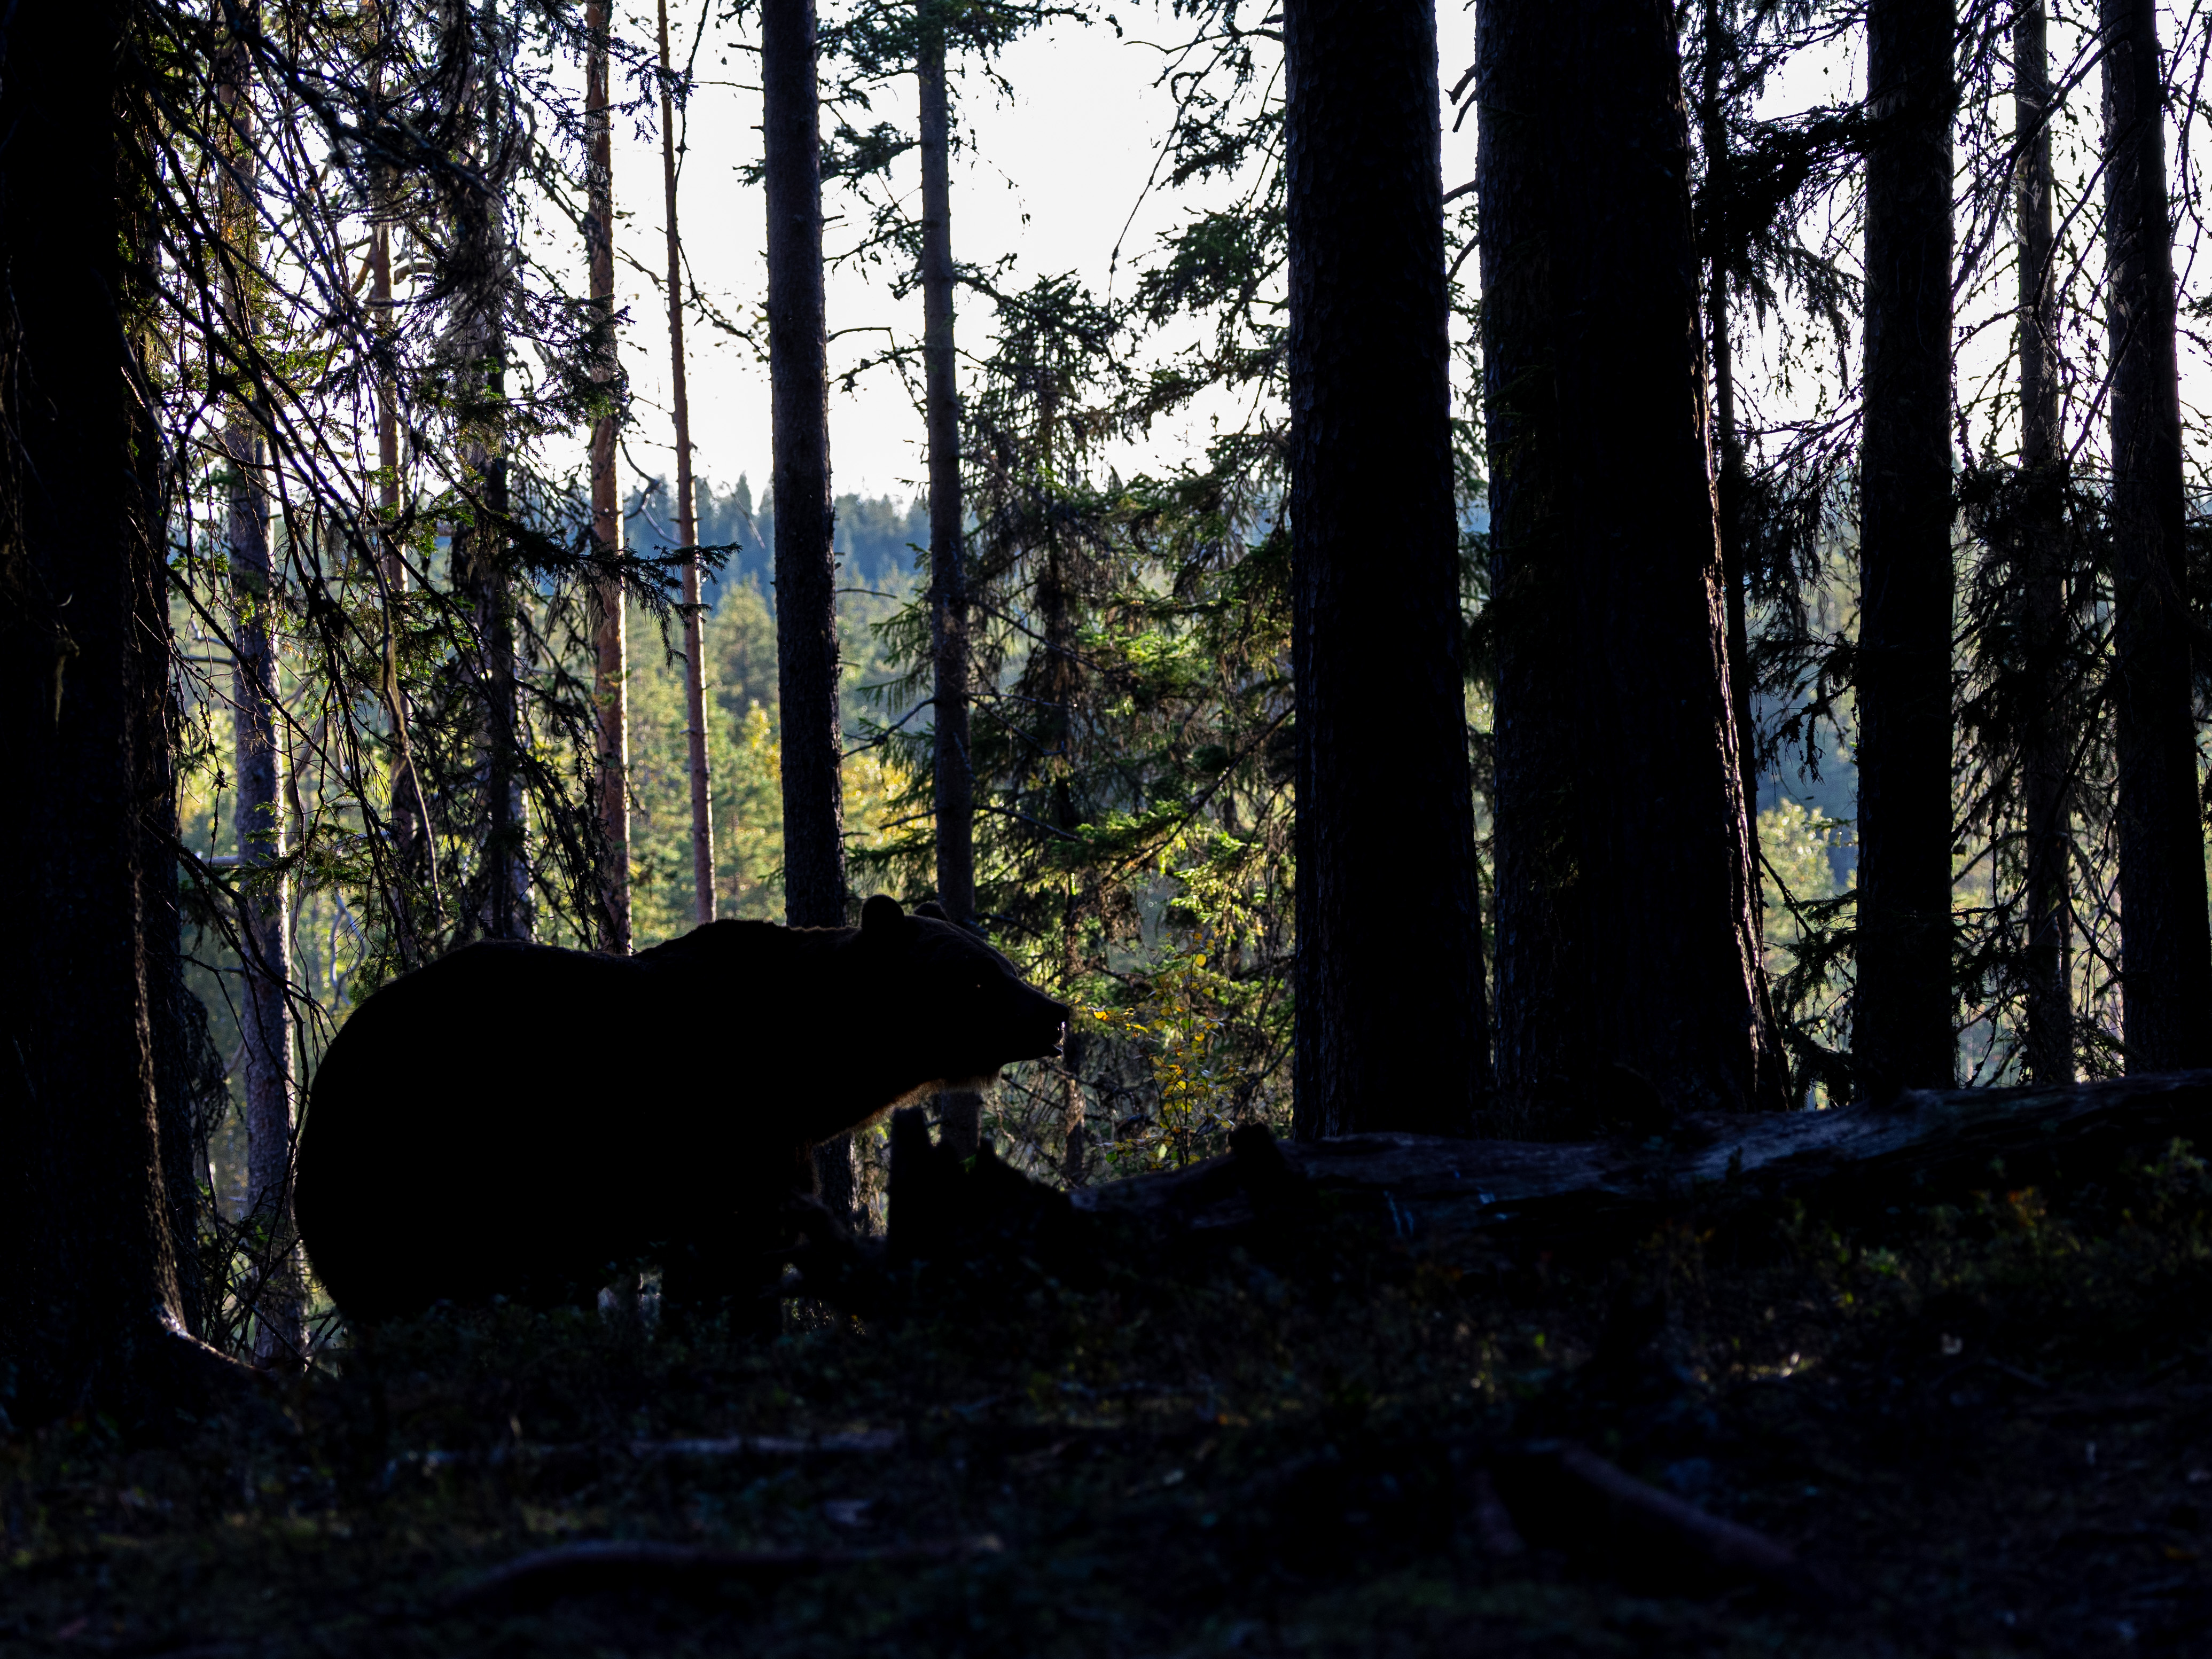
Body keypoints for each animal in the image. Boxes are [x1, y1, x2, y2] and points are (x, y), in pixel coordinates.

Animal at [293, 895, 1071, 1323]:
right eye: (976, 977)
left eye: (1002, 962)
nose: (1055, 1014)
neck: (806, 1060)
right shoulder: (719, 1126)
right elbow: (733, 1255)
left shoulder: (773, 1144)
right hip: (426, 1155)